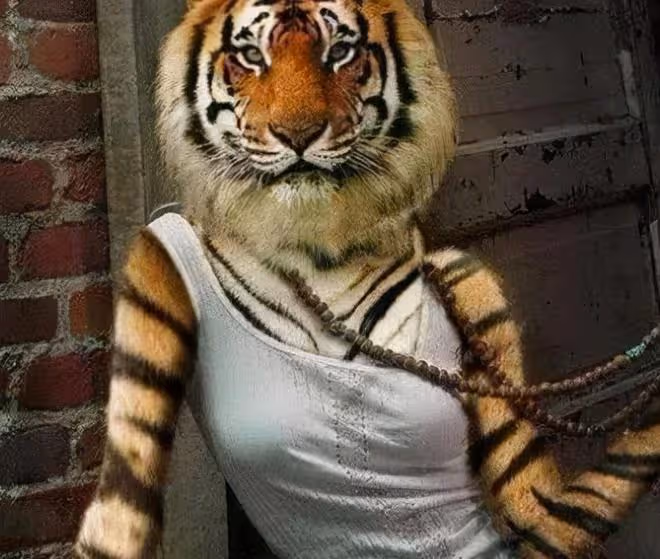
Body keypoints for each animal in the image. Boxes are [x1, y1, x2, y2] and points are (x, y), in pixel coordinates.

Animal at [73, 0, 660, 557]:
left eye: (340, 53)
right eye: (251, 56)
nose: (299, 134)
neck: (320, 251)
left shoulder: (478, 289)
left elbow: (536, 502)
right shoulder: (155, 260)